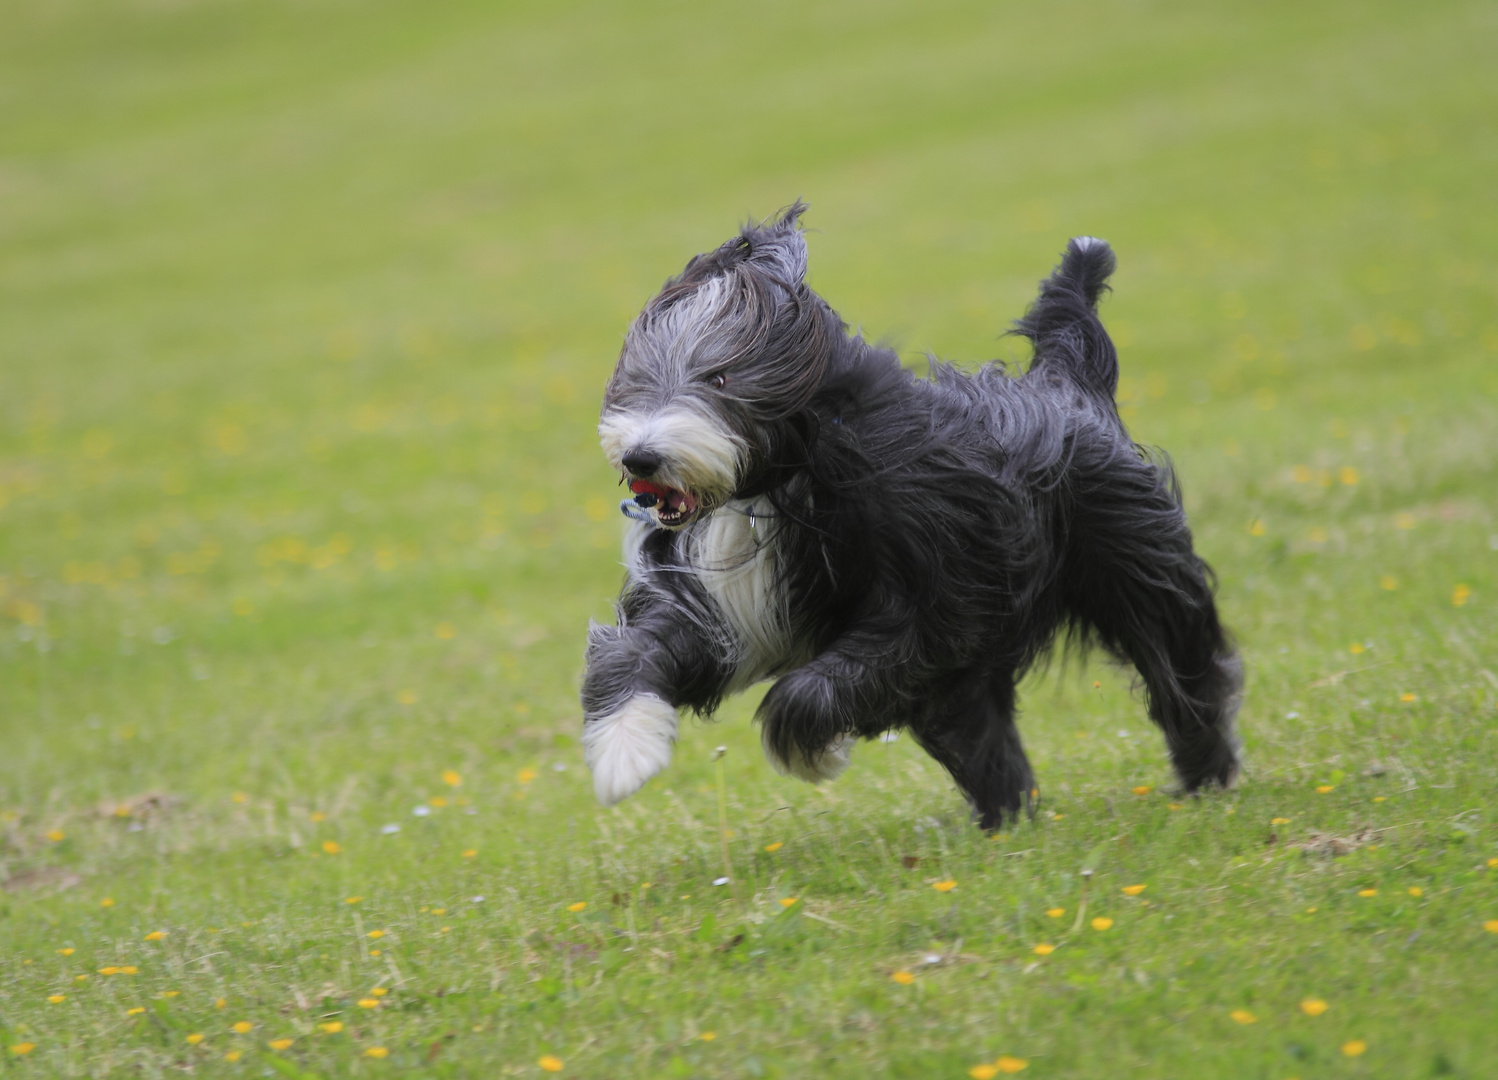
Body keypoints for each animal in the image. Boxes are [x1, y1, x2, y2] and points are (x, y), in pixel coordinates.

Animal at [578, 203, 1246, 826]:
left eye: (719, 377)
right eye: (636, 379)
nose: (641, 456)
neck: (775, 483)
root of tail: (1066, 382)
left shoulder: (932, 588)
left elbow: (826, 679)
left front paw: (812, 751)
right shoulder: (713, 606)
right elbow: (631, 653)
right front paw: (623, 754)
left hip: (1136, 561)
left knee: (1184, 672)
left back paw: (1206, 777)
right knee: (978, 728)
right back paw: (1008, 820)